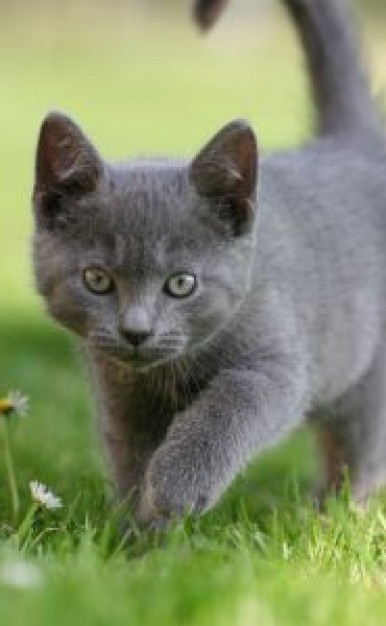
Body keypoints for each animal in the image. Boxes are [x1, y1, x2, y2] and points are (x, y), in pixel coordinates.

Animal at [32, 0, 386, 520]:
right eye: (97, 279)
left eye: (182, 284)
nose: (135, 332)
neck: (169, 372)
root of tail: (350, 145)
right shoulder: (121, 397)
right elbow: (130, 458)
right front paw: (137, 532)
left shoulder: (276, 365)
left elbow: (229, 407)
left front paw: (177, 485)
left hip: (367, 370)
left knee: (359, 448)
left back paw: (336, 514)